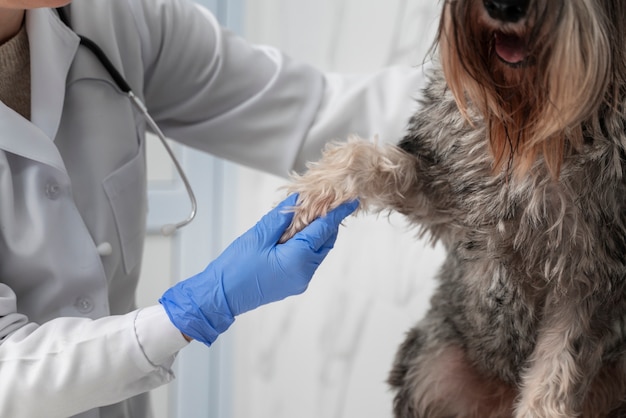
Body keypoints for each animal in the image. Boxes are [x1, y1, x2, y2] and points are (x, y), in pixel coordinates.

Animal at [280, 0, 624, 416]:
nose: (502, 7)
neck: (531, 126)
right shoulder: (446, 189)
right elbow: (369, 158)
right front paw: (308, 202)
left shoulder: (591, 277)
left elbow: (555, 374)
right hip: (429, 366)